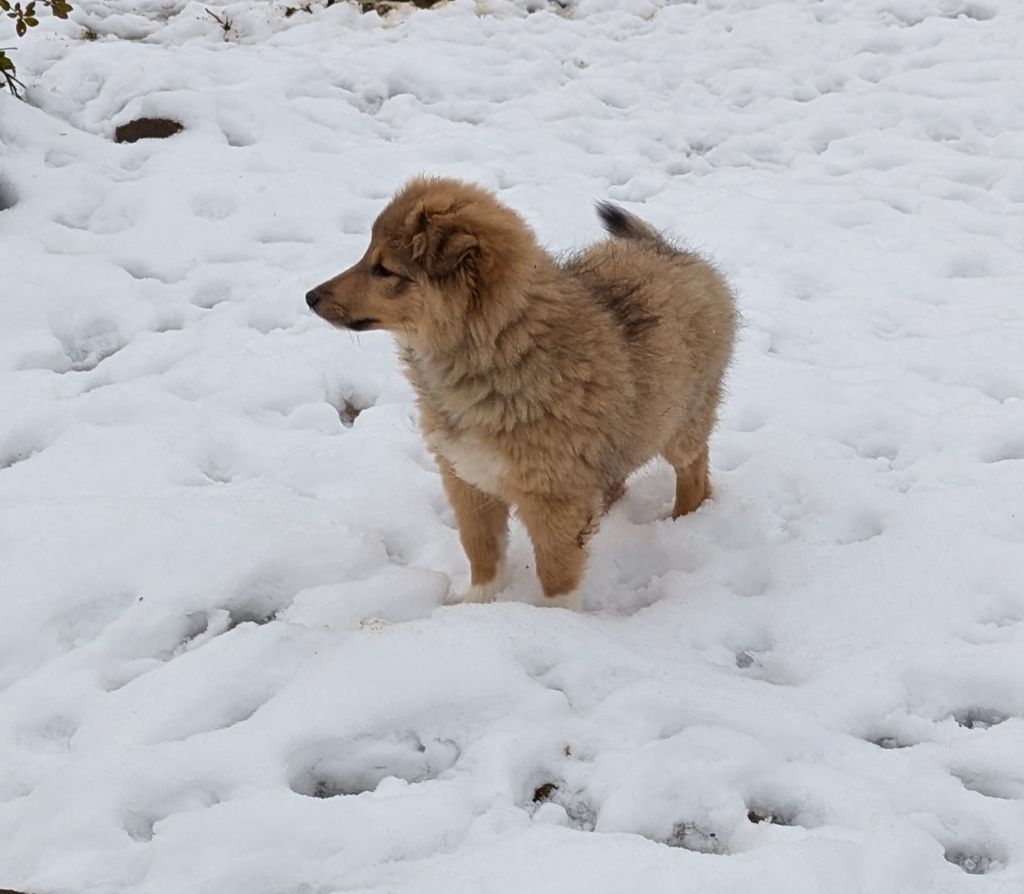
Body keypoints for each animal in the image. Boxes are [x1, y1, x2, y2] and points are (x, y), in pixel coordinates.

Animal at [303, 176, 737, 606]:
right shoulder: (466, 477)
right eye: (367, 258)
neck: (499, 344)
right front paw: (479, 605)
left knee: (694, 469)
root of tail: (667, 250)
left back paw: (683, 520)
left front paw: (550, 617)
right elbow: (481, 550)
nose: (310, 297)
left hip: (682, 418)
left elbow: (556, 572)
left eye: (384, 269)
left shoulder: (551, 495)